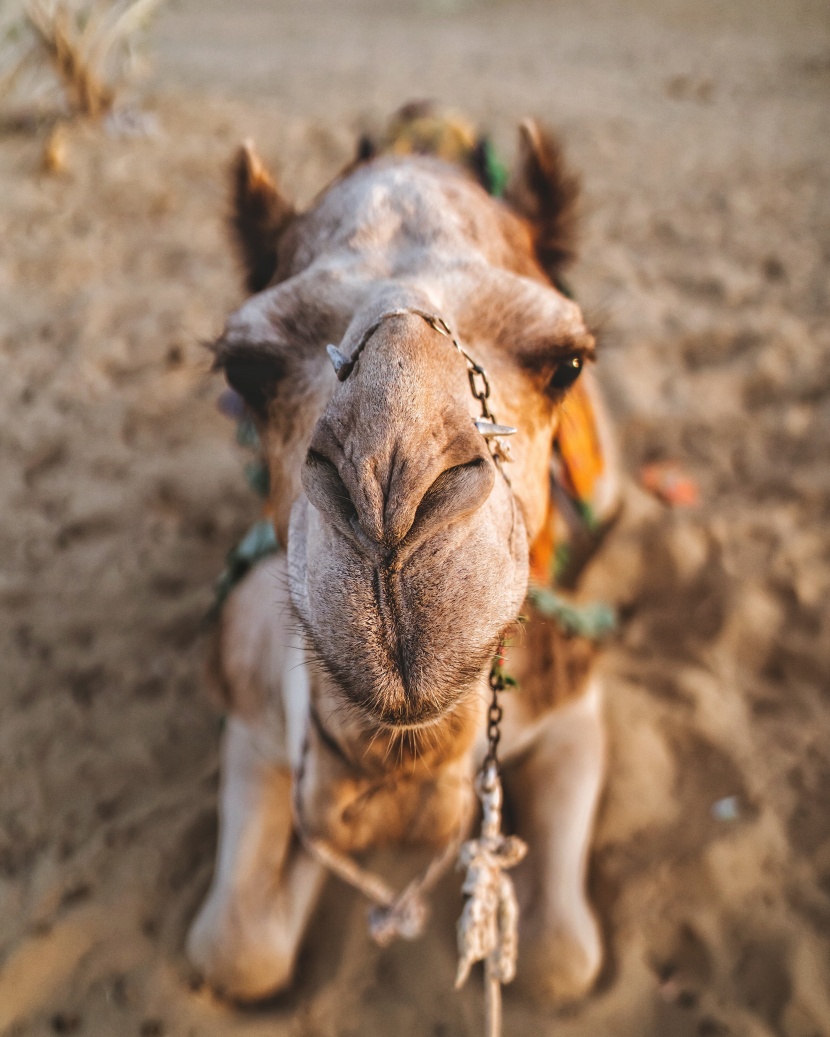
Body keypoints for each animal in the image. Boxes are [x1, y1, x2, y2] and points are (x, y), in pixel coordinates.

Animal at [186, 111, 614, 1003]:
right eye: (246, 367)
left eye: (566, 362)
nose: (390, 491)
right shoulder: (248, 710)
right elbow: (236, 949)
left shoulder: (574, 702)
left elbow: (561, 953)